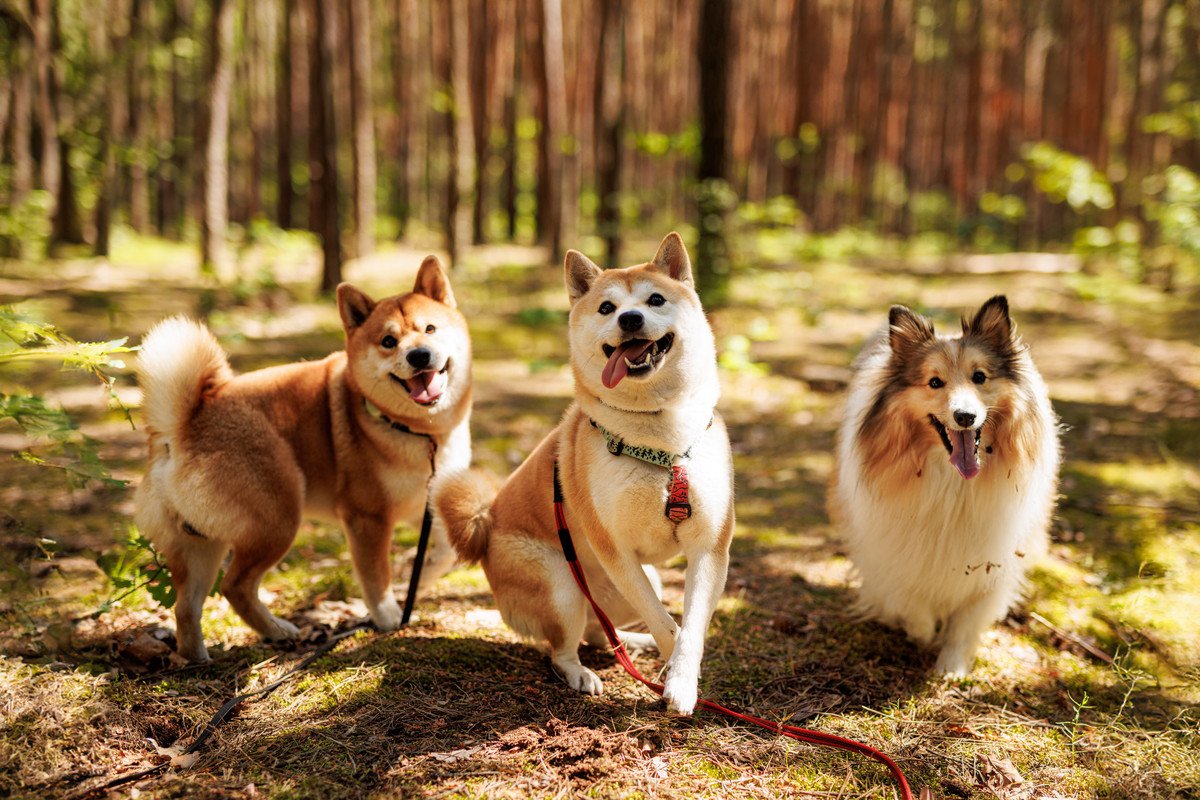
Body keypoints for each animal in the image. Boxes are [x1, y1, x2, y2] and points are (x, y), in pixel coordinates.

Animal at [132, 257, 468, 662]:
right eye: (389, 341)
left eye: (430, 329)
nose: (419, 355)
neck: (418, 432)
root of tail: (184, 424)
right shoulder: (366, 518)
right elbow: (376, 577)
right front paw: (389, 617)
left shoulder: (428, 501)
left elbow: (446, 551)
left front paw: (423, 577)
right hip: (277, 521)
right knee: (235, 586)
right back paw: (277, 631)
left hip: (200, 544)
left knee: (186, 607)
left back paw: (199, 660)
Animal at [432, 231, 729, 714]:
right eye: (607, 308)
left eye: (656, 299)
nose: (630, 318)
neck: (660, 444)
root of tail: (486, 526)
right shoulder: (614, 547)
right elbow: (668, 623)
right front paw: (674, 674)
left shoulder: (710, 547)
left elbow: (690, 628)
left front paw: (682, 678)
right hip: (562, 586)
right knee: (562, 648)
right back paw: (581, 674)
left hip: (627, 586)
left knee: (599, 628)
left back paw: (630, 642)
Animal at [825, 297, 1060, 671]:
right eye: (934, 382)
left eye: (979, 377)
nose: (965, 417)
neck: (953, 484)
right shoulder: (893, 551)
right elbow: (912, 601)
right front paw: (921, 635)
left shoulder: (989, 566)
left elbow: (964, 622)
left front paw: (952, 667)